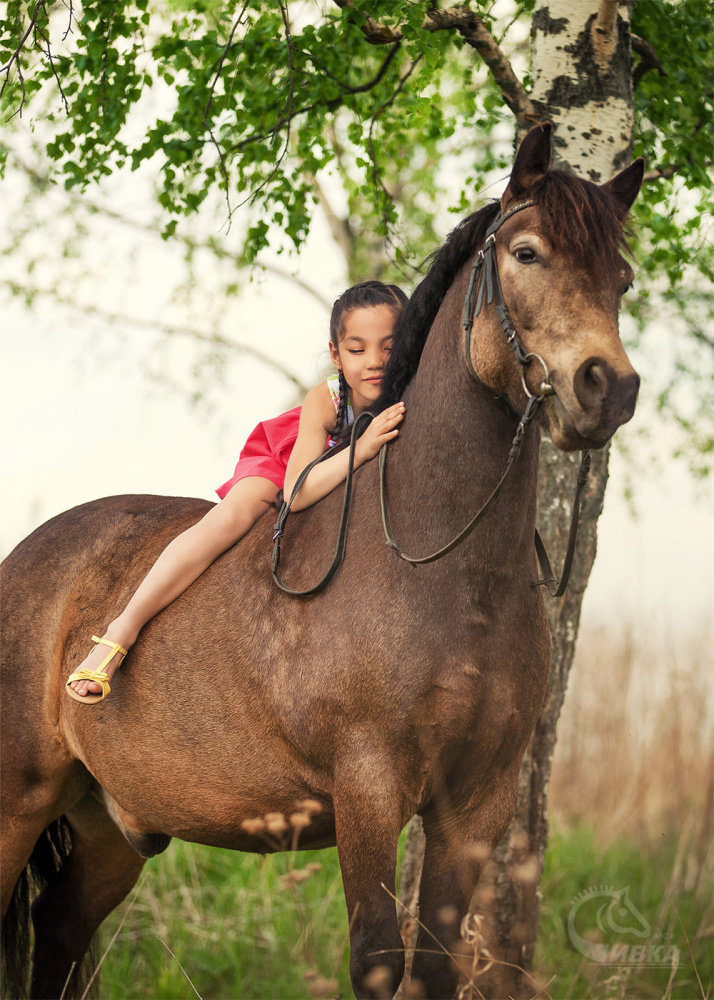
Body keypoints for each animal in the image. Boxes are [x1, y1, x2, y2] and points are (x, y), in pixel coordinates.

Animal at [0, 127, 644, 1000]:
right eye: (527, 252)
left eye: (623, 277)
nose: (607, 388)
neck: (442, 573)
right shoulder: (367, 789)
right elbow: (375, 955)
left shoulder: (476, 804)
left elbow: (436, 962)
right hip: (16, 801)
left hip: (104, 820)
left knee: (62, 931)